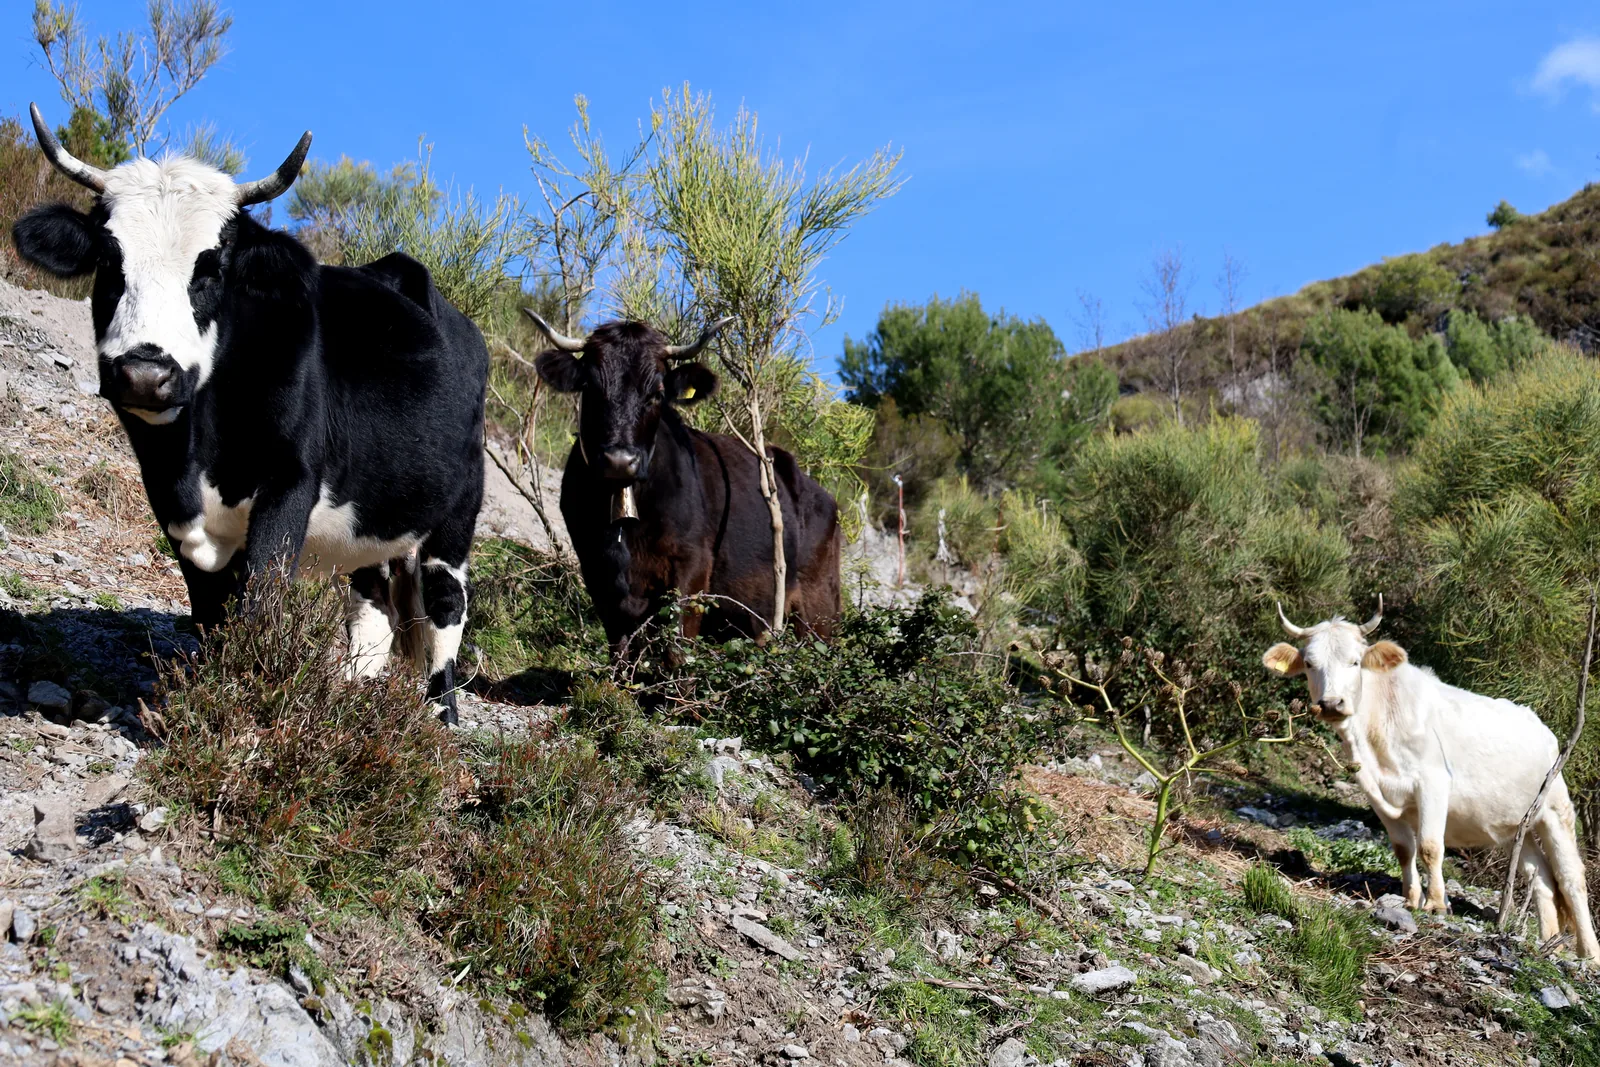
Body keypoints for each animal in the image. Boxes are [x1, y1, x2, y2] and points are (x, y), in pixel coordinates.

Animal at [10, 104, 488, 724]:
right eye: (110, 261)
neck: (198, 454)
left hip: (457, 511)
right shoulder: (173, 506)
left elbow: (260, 598)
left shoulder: (290, 482)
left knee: (446, 606)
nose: (145, 373)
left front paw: (252, 701)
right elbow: (209, 613)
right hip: (371, 519)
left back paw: (440, 720)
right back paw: (346, 697)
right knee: (374, 607)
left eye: (211, 268)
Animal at [523, 312, 841, 654]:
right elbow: (620, 650)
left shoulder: (691, 567)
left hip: (818, 613)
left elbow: (676, 646)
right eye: (591, 387)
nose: (619, 460)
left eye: (656, 393)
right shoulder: (596, 570)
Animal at [1263, 601, 1600, 959]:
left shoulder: (1433, 784)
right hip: (1516, 825)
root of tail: (1541, 725)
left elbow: (1429, 846)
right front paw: (1412, 898)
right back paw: (1550, 940)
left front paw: (1437, 903)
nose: (1330, 704)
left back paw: (1589, 953)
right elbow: (1403, 849)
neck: (1372, 738)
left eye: (1354, 661)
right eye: (1310, 664)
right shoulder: (1376, 795)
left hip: (1556, 810)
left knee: (1571, 878)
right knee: (1541, 877)